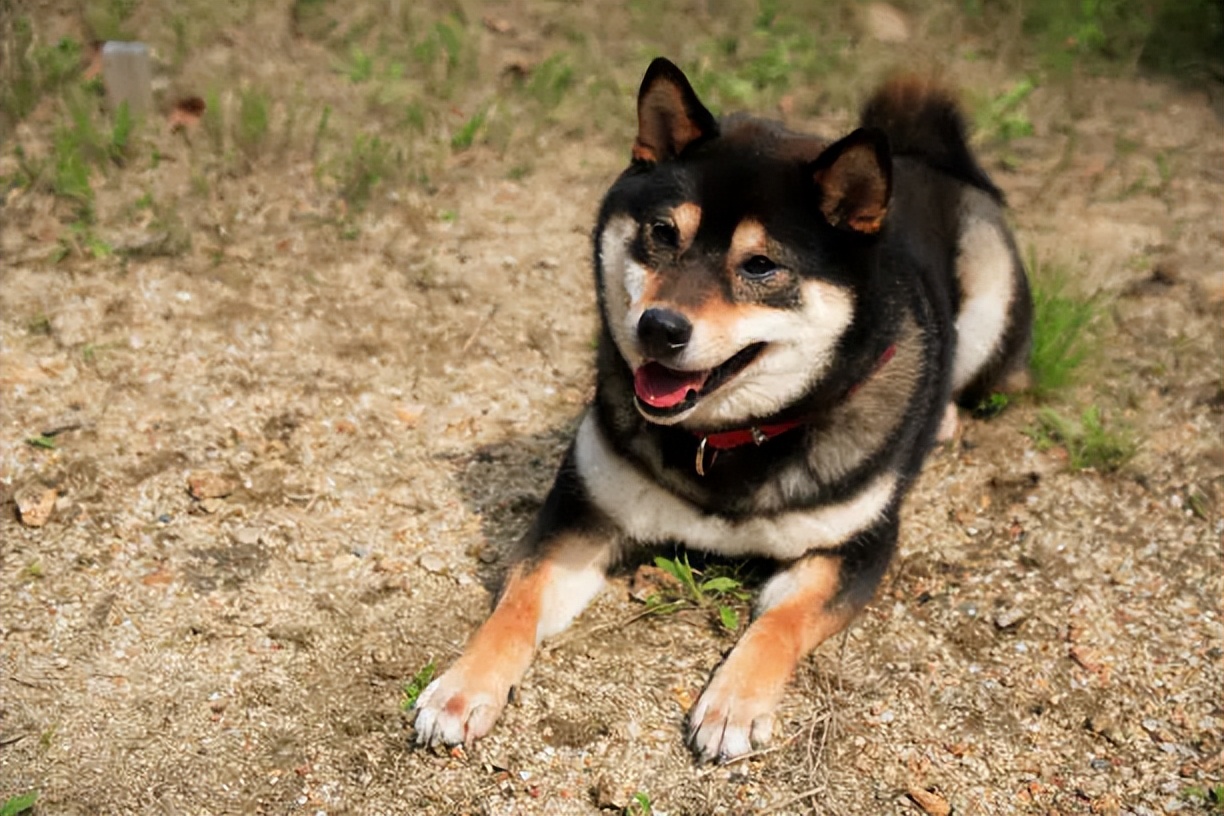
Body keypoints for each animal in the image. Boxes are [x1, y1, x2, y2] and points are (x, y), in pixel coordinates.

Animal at [413, 59, 1033, 768]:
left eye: (760, 265)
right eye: (662, 233)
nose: (658, 328)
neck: (728, 439)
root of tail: (921, 155)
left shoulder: (854, 547)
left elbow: (779, 623)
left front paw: (735, 703)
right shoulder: (581, 514)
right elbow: (516, 604)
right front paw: (463, 687)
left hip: (991, 304)